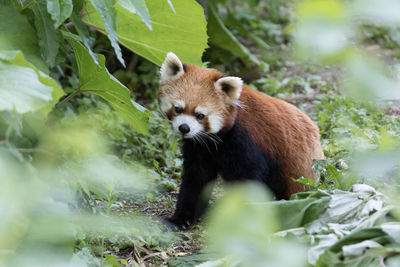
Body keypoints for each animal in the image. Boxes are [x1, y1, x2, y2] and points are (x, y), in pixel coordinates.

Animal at [158, 53, 324, 231]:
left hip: (298, 172)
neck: (218, 140)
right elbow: (196, 180)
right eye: (178, 109)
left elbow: (249, 181)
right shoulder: (199, 147)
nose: (184, 128)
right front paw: (180, 219)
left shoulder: (245, 141)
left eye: (200, 115)